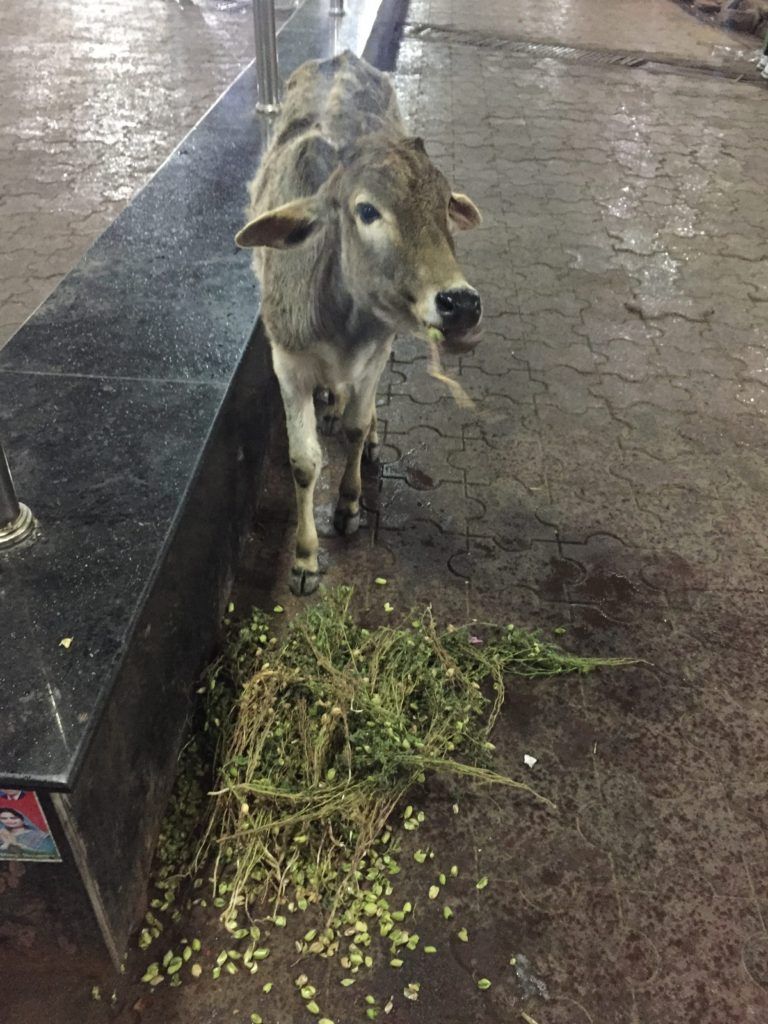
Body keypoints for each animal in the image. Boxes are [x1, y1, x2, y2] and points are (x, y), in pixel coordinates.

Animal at [237, 51, 483, 598]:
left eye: (444, 206)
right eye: (367, 210)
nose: (460, 303)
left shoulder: (375, 354)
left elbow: (355, 426)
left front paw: (349, 506)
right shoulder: (288, 364)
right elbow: (303, 461)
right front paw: (305, 558)